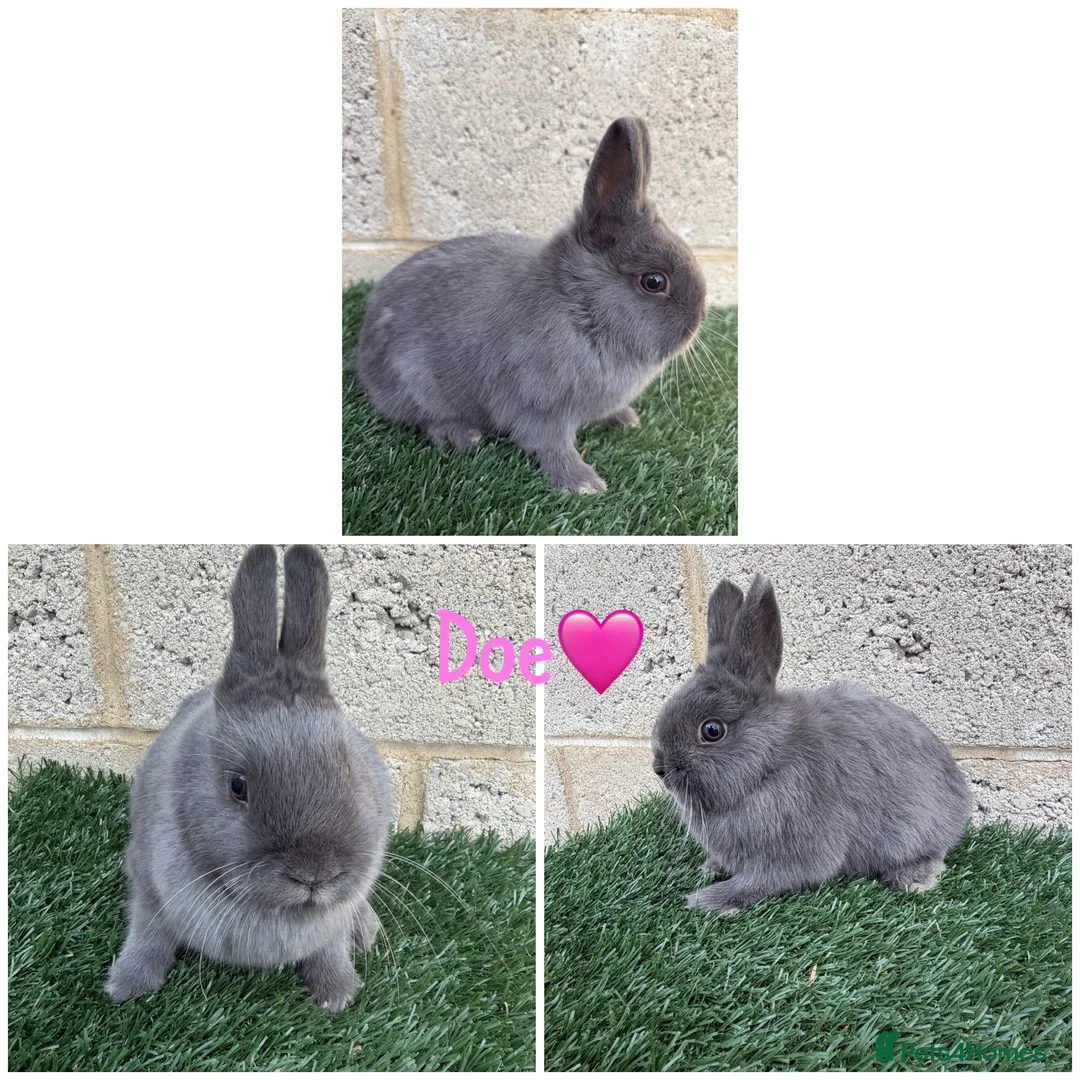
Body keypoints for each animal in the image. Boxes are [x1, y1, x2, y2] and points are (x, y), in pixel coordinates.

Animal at [104, 545, 392, 1011]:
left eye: (349, 770)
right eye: (238, 786)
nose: (315, 876)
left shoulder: (332, 920)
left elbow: (329, 948)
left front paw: (337, 993)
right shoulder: (147, 887)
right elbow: (146, 935)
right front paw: (126, 986)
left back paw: (366, 933)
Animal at [353, 116, 708, 495]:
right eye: (654, 281)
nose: (698, 319)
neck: (579, 307)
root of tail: (364, 349)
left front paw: (627, 420)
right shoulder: (540, 407)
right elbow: (551, 445)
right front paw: (583, 484)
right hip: (417, 383)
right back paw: (461, 436)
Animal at [651, 574, 971, 915]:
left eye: (712, 730)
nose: (659, 767)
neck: (771, 765)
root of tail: (962, 801)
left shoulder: (794, 850)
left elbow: (759, 882)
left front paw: (708, 900)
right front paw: (709, 869)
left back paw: (912, 879)